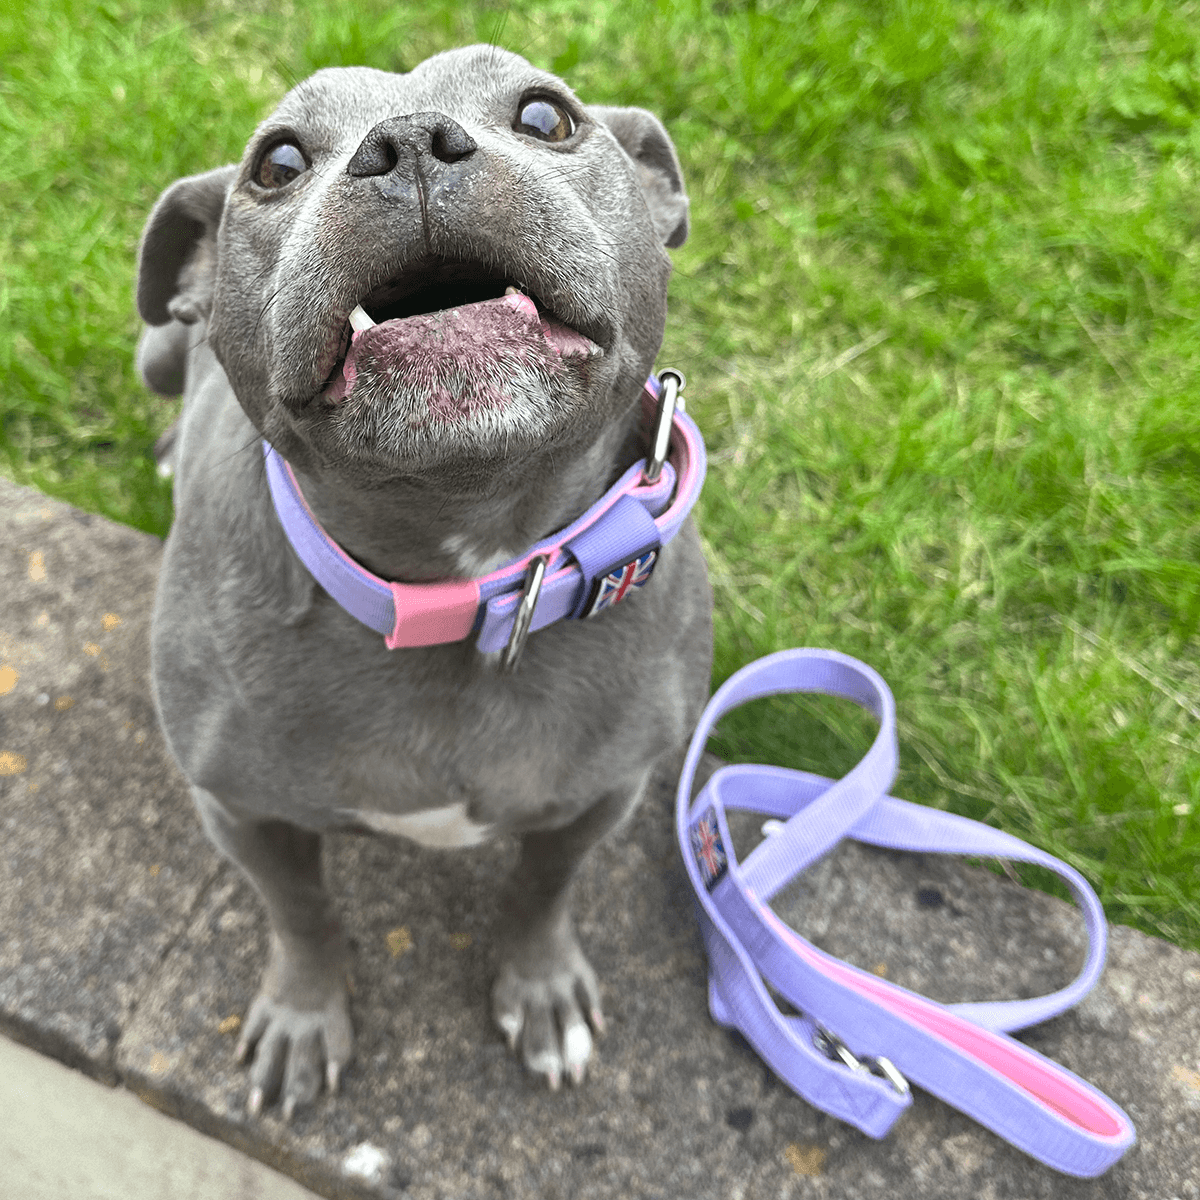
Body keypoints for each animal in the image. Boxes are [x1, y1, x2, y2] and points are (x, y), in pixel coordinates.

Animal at [135, 44, 705, 1113]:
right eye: (276, 163)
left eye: (546, 115)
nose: (405, 142)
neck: (461, 581)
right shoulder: (244, 811)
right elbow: (301, 911)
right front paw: (303, 1016)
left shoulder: (601, 792)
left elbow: (543, 888)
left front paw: (543, 989)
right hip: (155, 348)